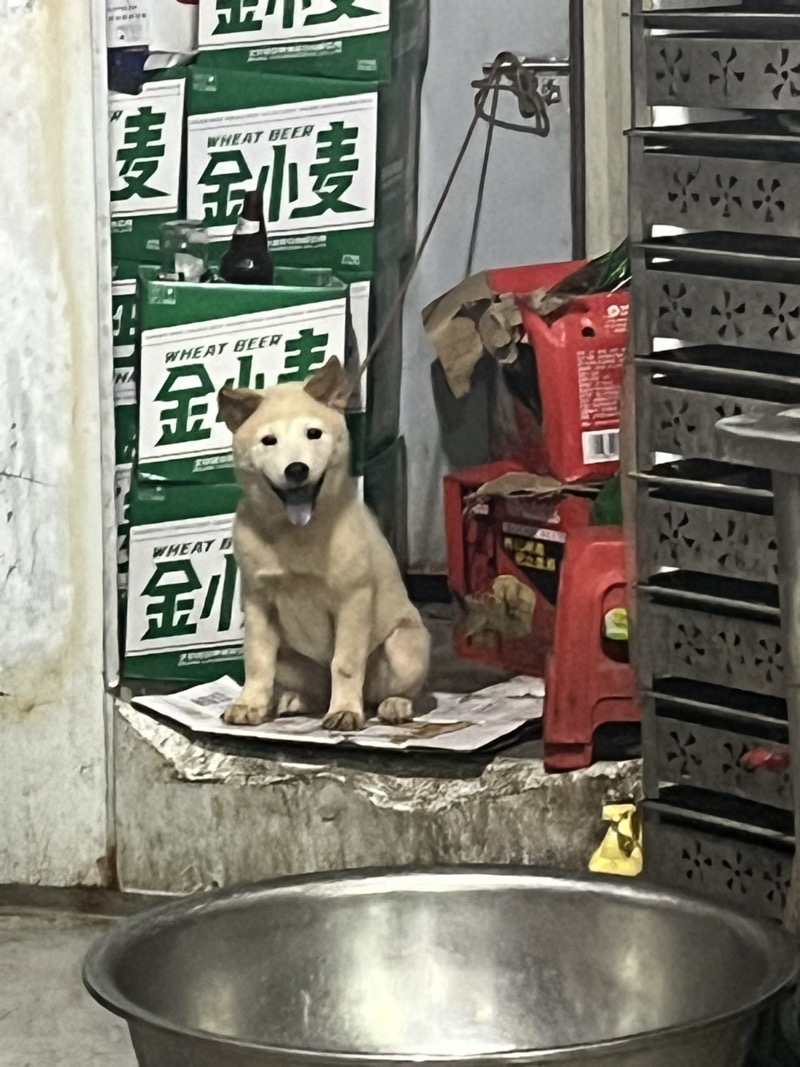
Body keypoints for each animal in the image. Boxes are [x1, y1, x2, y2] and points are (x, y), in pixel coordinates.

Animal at [217, 354, 433, 729]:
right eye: (268, 441)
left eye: (313, 434)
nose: (296, 470)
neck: (295, 533)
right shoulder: (259, 602)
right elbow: (257, 662)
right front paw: (250, 704)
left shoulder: (353, 600)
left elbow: (345, 663)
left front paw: (345, 710)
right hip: (292, 658)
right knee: (310, 687)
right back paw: (293, 701)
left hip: (405, 645)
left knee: (395, 690)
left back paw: (394, 705)